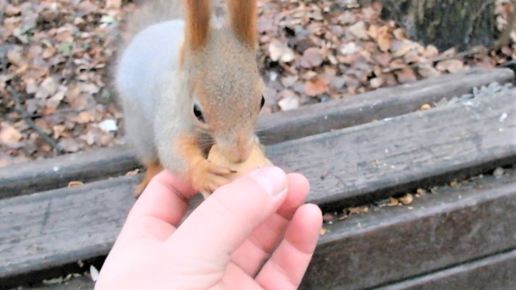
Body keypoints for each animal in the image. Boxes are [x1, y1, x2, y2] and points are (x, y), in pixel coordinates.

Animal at [114, 0, 264, 197]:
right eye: (197, 111)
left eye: (262, 101)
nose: (239, 156)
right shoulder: (170, 113)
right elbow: (173, 150)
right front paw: (203, 173)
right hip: (138, 127)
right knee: (150, 156)